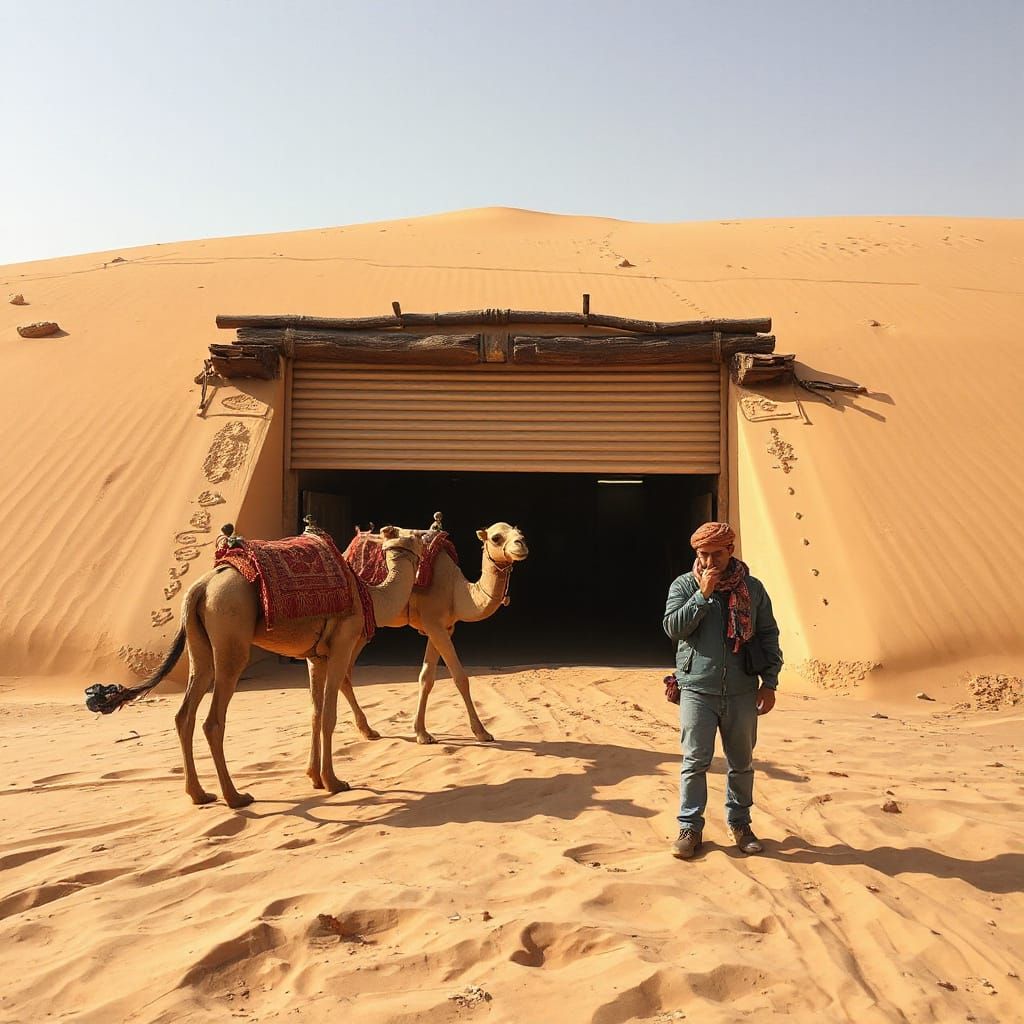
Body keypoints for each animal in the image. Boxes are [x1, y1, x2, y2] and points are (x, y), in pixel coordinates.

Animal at [86, 524, 423, 807]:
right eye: (417, 535)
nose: (432, 529)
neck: (370, 596)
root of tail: (200, 588)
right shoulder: (342, 643)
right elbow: (328, 714)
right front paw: (334, 782)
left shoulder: (315, 657)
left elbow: (314, 714)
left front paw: (314, 777)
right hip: (230, 632)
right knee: (213, 719)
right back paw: (235, 796)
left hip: (199, 644)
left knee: (185, 713)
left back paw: (199, 794)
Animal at [340, 519, 528, 745]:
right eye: (496, 537)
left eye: (520, 532)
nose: (521, 544)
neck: (457, 592)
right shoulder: (433, 623)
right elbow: (460, 677)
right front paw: (482, 732)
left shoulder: (444, 627)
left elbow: (426, 678)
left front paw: (421, 732)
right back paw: (363, 729)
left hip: (363, 628)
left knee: (345, 673)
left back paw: (366, 730)